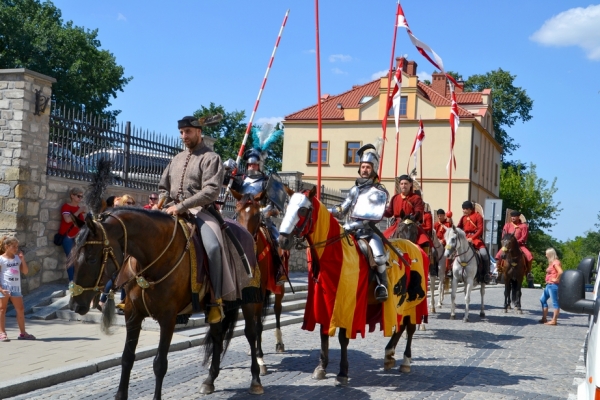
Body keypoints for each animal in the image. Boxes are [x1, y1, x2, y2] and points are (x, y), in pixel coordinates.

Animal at [67, 208, 264, 398]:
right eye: (73, 257)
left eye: (91, 258)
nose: (75, 305)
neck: (151, 261)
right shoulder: (133, 315)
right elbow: (127, 358)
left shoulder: (168, 319)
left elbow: (160, 364)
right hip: (214, 307)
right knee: (217, 336)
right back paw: (209, 380)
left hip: (248, 299)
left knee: (251, 333)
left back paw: (256, 379)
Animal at [230, 188, 288, 376]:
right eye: (237, 212)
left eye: (256, 215)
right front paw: (255, 352)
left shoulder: (260, 291)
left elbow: (258, 325)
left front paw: (260, 359)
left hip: (279, 287)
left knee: (277, 310)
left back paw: (278, 343)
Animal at [276, 186, 426, 382]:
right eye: (287, 208)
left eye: (302, 210)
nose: (282, 241)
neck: (335, 255)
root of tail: (415, 246)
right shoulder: (324, 303)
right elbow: (323, 333)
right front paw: (321, 367)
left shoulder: (348, 304)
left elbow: (343, 337)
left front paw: (342, 372)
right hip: (399, 302)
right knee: (400, 326)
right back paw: (388, 355)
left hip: (413, 301)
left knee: (410, 327)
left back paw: (406, 361)